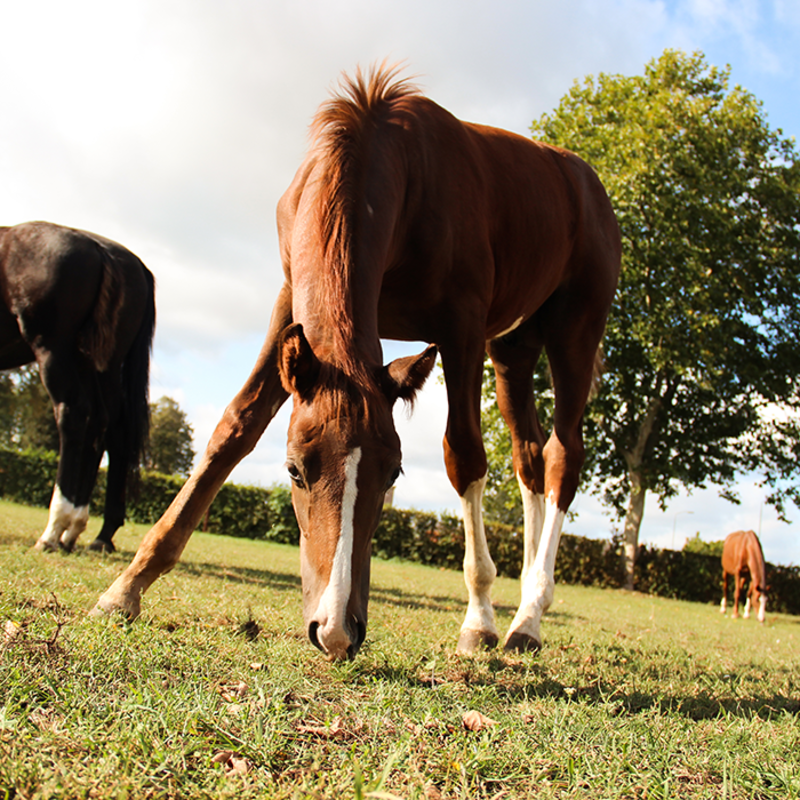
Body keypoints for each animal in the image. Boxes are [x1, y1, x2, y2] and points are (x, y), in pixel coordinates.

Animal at [0, 222, 155, 552]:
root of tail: (103, 250)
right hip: (97, 359)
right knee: (107, 424)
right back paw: (91, 533)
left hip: (54, 347)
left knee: (75, 414)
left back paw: (56, 528)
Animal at [92, 65, 620, 660]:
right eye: (294, 470)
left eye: (394, 472)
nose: (336, 629)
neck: (402, 168)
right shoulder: (289, 302)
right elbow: (236, 428)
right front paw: (125, 588)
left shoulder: (461, 328)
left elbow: (463, 455)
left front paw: (479, 617)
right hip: (512, 348)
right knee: (528, 459)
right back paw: (526, 599)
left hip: (574, 333)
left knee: (562, 457)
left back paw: (528, 616)